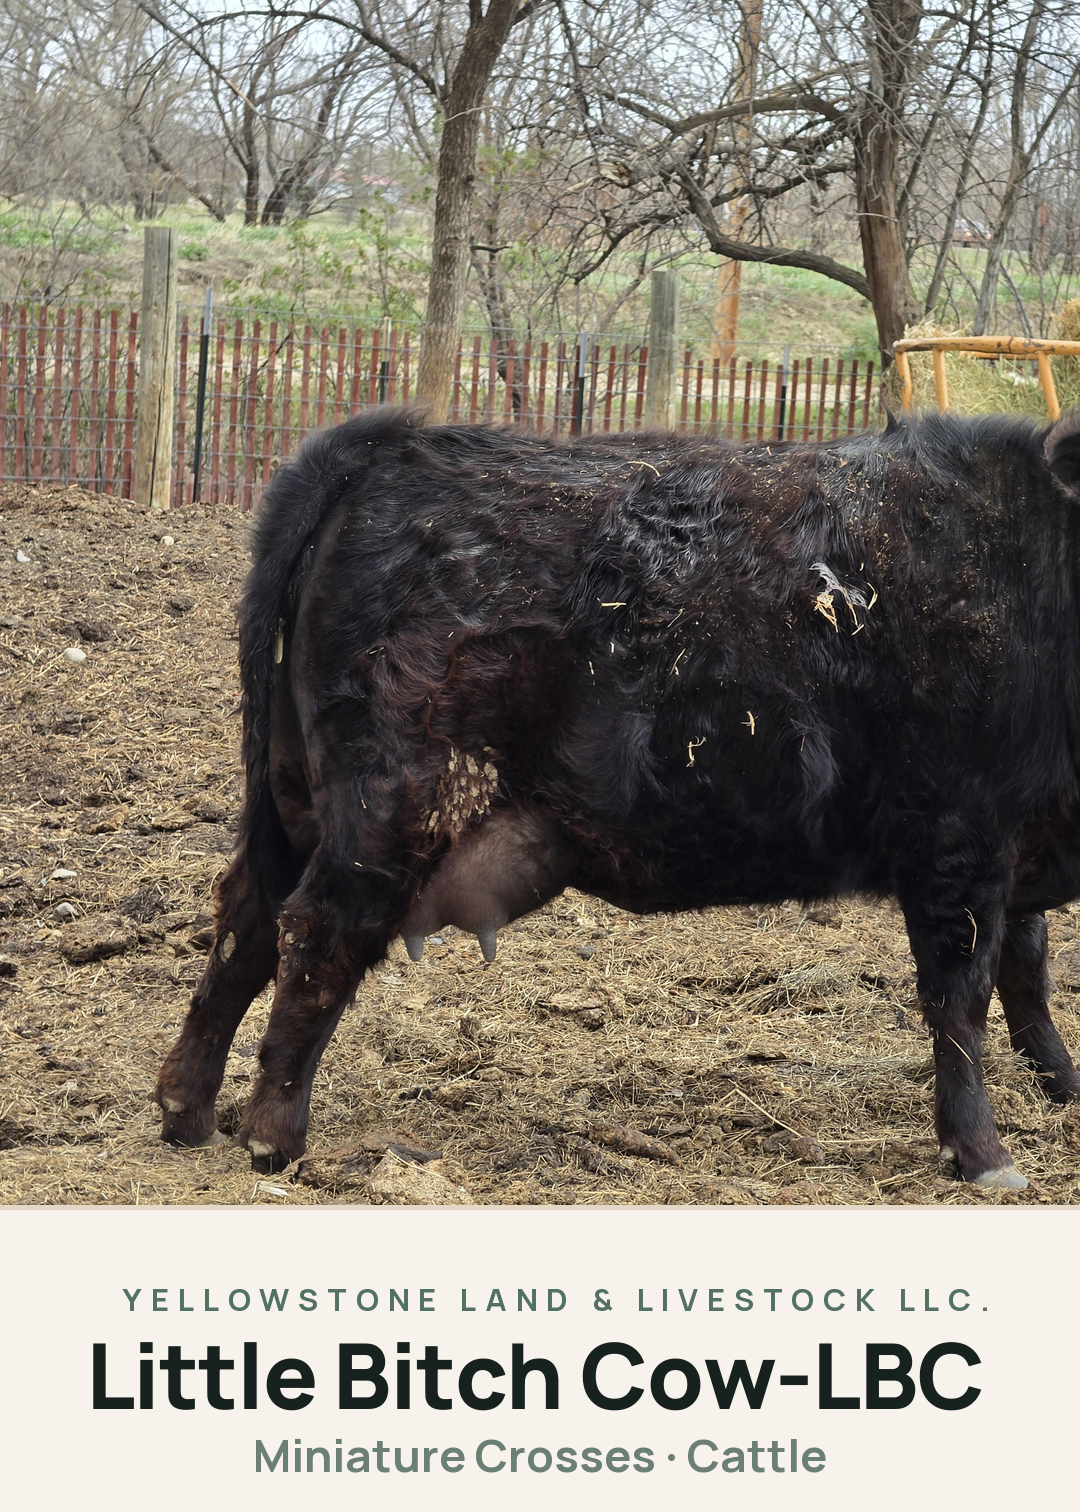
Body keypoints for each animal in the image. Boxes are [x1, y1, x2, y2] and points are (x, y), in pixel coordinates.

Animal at [155, 405, 1080, 1189]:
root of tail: (387, 447)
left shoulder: (1015, 852)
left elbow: (1027, 971)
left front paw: (1063, 1085)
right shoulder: (960, 843)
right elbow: (961, 998)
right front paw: (984, 1153)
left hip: (294, 802)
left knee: (245, 920)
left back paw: (186, 1108)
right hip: (392, 808)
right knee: (316, 930)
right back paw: (272, 1134)